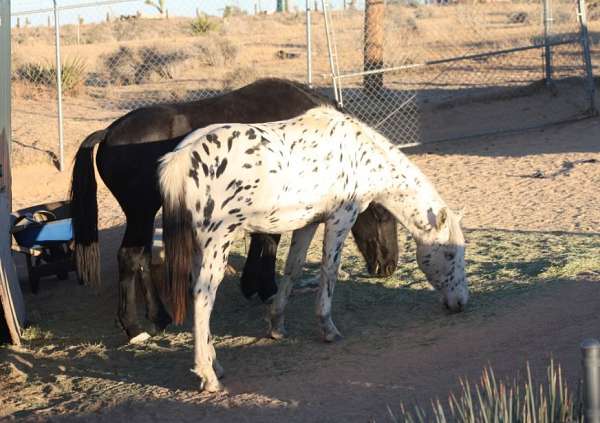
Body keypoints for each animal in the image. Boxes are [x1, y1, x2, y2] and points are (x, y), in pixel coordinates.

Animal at [69, 78, 398, 342]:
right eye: (382, 215)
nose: (389, 266)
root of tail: (108, 132)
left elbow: (264, 240)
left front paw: (255, 285)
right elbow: (269, 242)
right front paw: (265, 288)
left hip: (146, 216)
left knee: (142, 258)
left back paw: (159, 317)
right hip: (141, 213)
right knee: (129, 257)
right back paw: (134, 328)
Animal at [159, 105, 468, 390]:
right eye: (449, 253)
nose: (461, 303)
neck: (361, 154)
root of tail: (181, 158)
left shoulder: (307, 224)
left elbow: (293, 269)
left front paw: (277, 326)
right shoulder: (340, 219)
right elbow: (329, 271)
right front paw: (328, 329)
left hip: (201, 249)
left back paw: (216, 366)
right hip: (216, 243)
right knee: (203, 298)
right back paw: (209, 376)